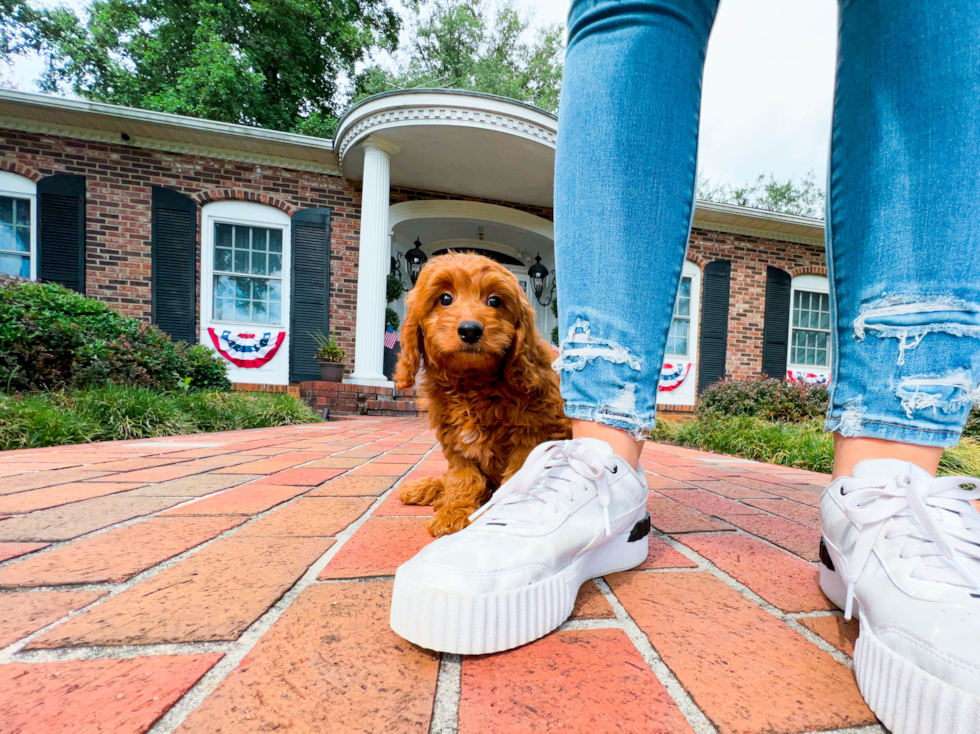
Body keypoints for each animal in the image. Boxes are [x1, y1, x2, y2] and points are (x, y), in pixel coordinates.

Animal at [394, 252, 572, 536]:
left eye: (494, 301)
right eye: (445, 299)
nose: (470, 330)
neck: (473, 382)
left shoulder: (530, 437)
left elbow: (515, 478)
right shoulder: (456, 441)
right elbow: (463, 477)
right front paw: (454, 512)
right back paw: (425, 488)